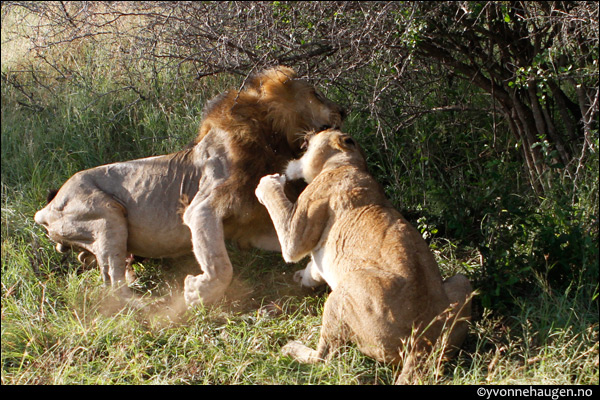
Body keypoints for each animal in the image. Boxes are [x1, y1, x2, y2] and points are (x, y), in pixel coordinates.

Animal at [35, 65, 344, 306]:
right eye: (316, 94)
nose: (343, 110)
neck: (270, 137)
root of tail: (45, 208)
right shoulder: (201, 209)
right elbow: (220, 266)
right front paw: (197, 292)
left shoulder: (250, 231)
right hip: (107, 215)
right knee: (113, 286)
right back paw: (149, 305)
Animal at [255, 129, 472, 384]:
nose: (308, 132)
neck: (350, 163)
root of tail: (422, 341)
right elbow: (315, 267)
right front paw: (304, 277)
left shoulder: (297, 231)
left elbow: (283, 222)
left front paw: (267, 183)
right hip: (461, 282)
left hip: (347, 288)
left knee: (324, 358)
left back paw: (291, 348)